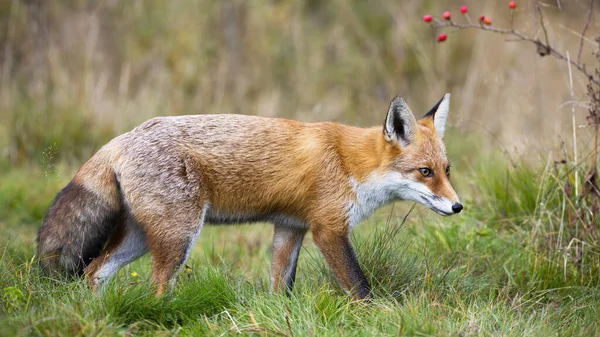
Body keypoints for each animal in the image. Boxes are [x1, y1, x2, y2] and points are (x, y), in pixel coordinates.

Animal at [37, 93, 460, 298]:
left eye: (447, 170)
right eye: (424, 172)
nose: (458, 206)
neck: (349, 162)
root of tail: (122, 138)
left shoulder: (290, 228)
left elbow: (280, 289)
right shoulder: (328, 229)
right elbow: (359, 287)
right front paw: (376, 317)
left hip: (140, 238)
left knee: (94, 272)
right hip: (178, 237)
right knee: (155, 288)